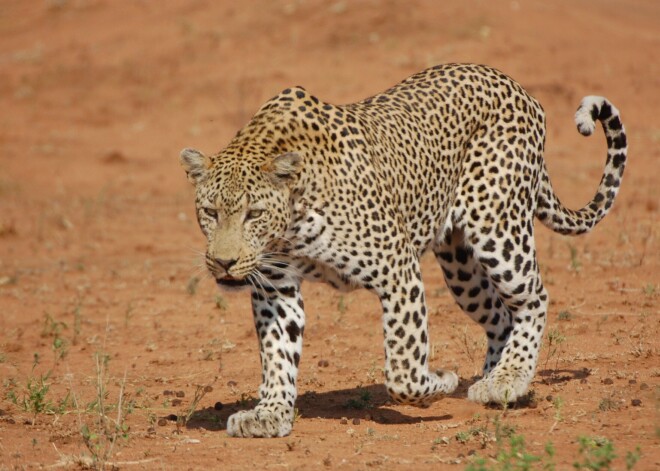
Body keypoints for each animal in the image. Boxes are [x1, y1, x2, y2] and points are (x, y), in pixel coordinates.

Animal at [178, 62, 628, 438]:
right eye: (210, 212)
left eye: (253, 214)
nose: (223, 262)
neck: (291, 220)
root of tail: (516, 87)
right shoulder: (275, 289)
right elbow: (277, 355)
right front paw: (269, 414)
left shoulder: (397, 267)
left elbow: (403, 364)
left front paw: (439, 382)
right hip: (460, 267)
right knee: (501, 317)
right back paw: (491, 380)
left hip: (498, 230)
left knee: (534, 299)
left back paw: (508, 379)